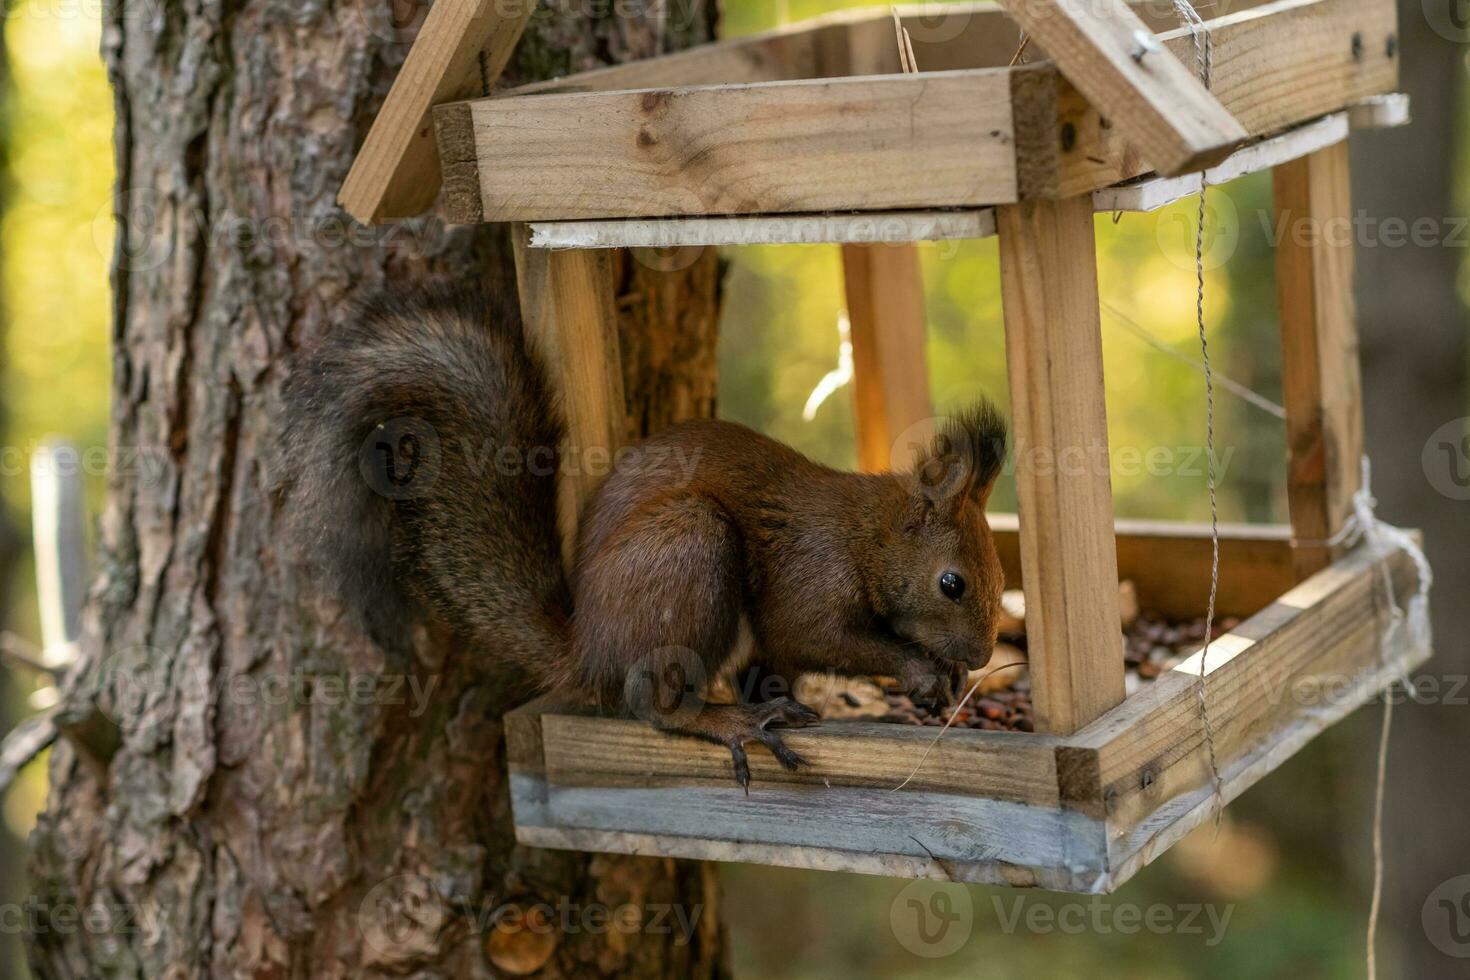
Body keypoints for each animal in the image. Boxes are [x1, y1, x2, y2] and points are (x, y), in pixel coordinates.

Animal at [280, 283, 1005, 787]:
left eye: (1001, 576)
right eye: (951, 583)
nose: (978, 658)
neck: (868, 535)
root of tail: (587, 649)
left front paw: (940, 678)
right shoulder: (810, 577)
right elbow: (819, 635)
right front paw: (919, 667)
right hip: (690, 551)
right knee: (654, 705)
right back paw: (731, 722)